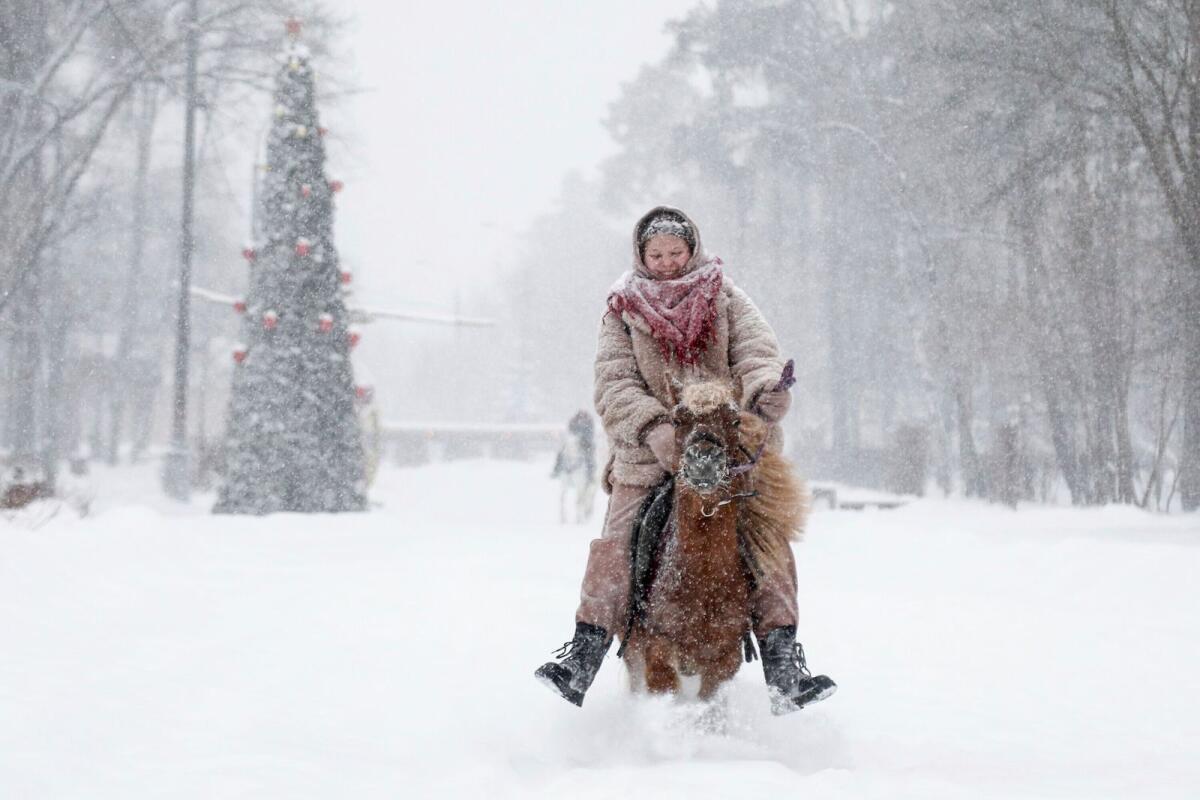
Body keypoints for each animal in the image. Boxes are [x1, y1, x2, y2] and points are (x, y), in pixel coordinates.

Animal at [619, 381, 806, 700]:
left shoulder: (723, 659)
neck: (702, 575)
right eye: (677, 419)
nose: (704, 461)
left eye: (734, 420)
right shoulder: (658, 650)